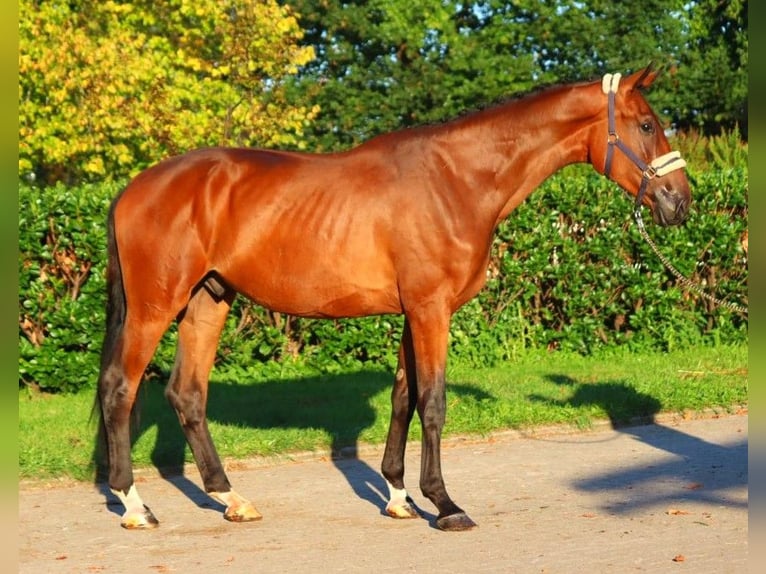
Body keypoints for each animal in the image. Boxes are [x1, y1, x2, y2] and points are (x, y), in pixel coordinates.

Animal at [97, 65, 696, 532]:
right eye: (647, 125)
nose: (680, 203)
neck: (457, 179)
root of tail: (132, 189)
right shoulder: (431, 310)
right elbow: (433, 403)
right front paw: (446, 504)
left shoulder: (416, 311)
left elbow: (403, 398)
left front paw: (400, 498)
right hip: (156, 308)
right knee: (122, 390)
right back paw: (135, 506)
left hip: (208, 301)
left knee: (187, 395)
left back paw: (231, 499)